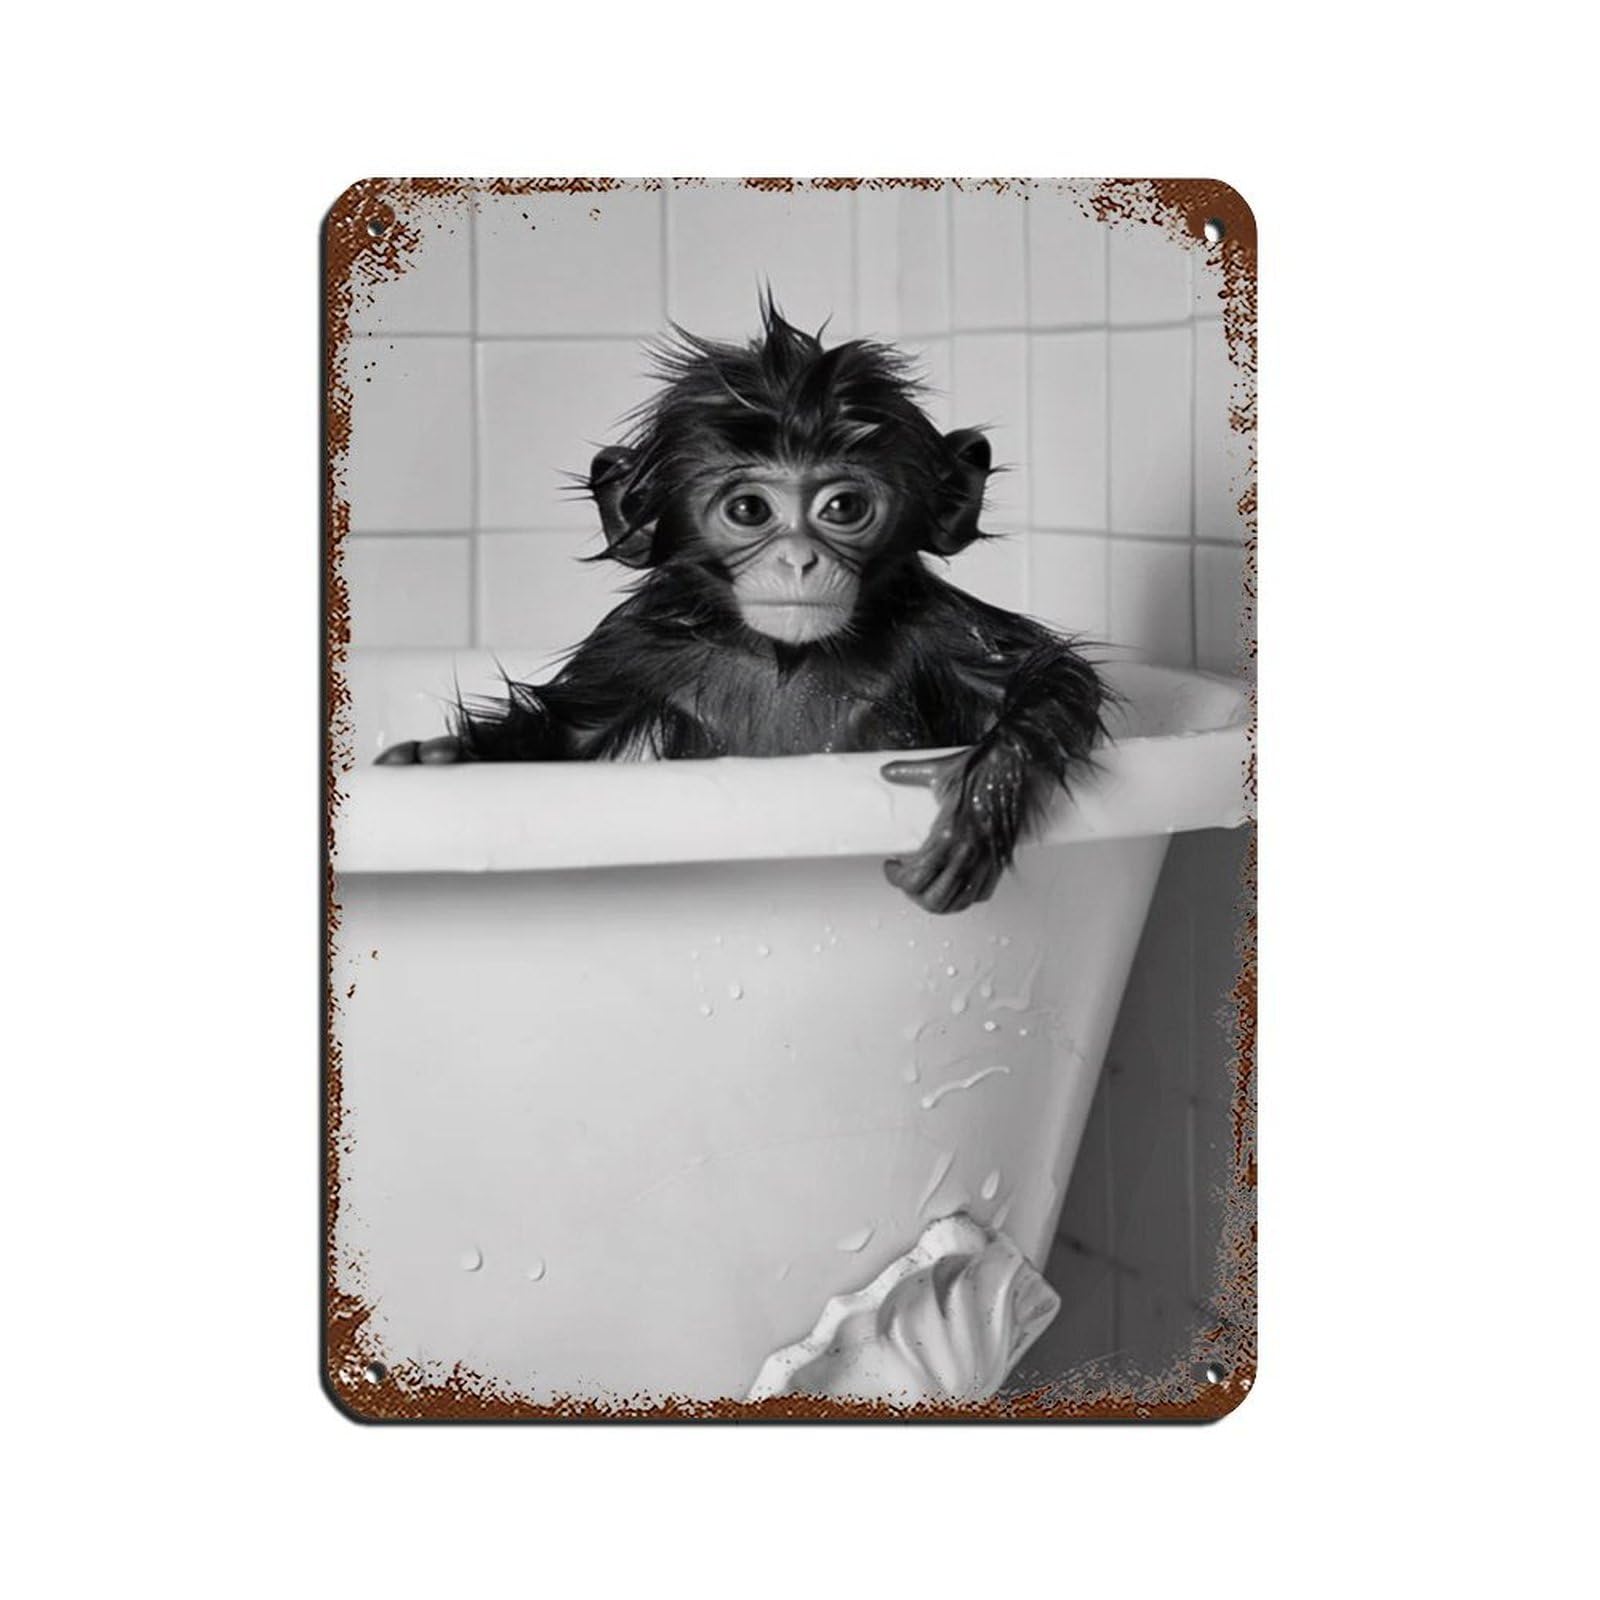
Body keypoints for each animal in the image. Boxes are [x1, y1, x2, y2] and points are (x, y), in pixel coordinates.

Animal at [377, 296, 1107, 915]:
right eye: (750, 510)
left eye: (843, 507)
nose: (798, 560)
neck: (783, 653)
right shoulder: (634, 645)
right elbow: (568, 733)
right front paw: (446, 757)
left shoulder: (936, 623)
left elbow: (1046, 676)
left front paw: (987, 785)